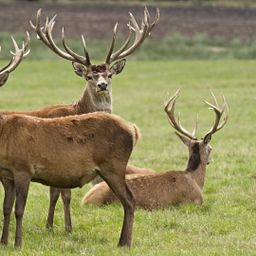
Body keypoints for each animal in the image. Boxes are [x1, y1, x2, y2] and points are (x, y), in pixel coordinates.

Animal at [0, 7, 159, 241]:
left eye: (109, 75)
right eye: (89, 76)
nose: (102, 85)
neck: (77, 108)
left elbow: (57, 193)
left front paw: (56, 226)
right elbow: (61, 194)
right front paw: (61, 227)